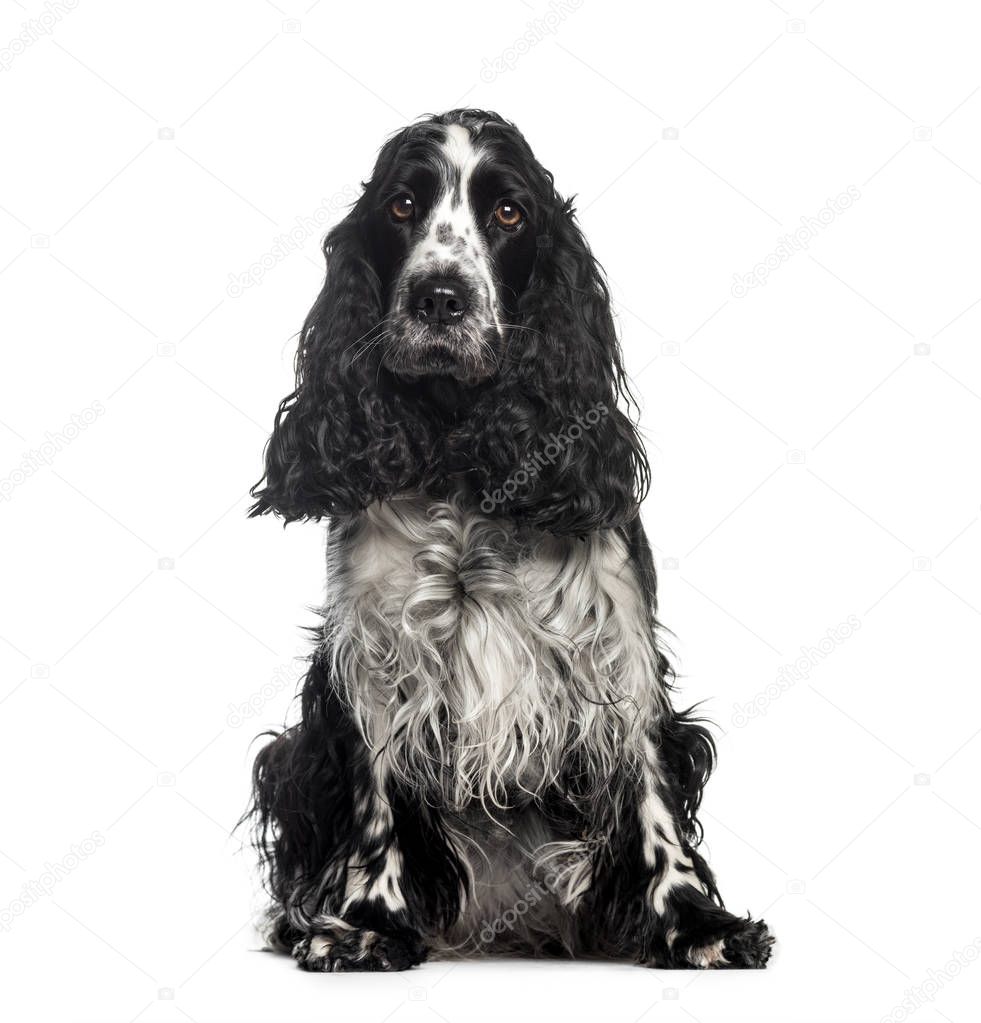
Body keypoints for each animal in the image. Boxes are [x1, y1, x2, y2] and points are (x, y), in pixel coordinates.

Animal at [249, 107, 777, 969]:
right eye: (401, 205)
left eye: (507, 212)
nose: (439, 297)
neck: (463, 457)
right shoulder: (378, 651)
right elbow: (379, 803)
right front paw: (367, 922)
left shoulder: (615, 648)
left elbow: (649, 801)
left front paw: (696, 925)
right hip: (293, 754)